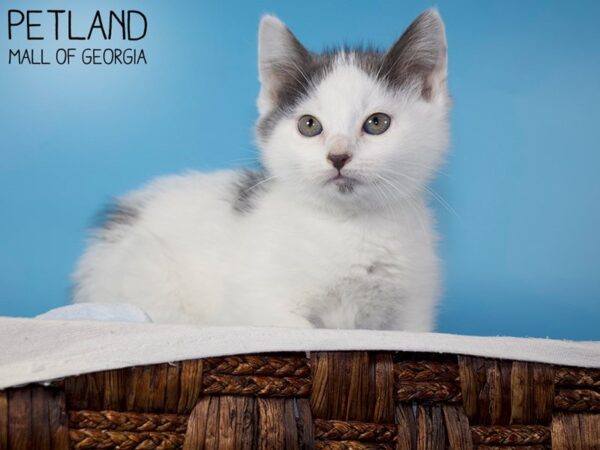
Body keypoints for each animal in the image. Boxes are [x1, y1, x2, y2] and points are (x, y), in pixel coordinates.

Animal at [71, 8, 450, 328]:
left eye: (377, 123)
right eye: (309, 125)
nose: (338, 156)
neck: (349, 227)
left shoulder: (412, 313)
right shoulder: (256, 302)